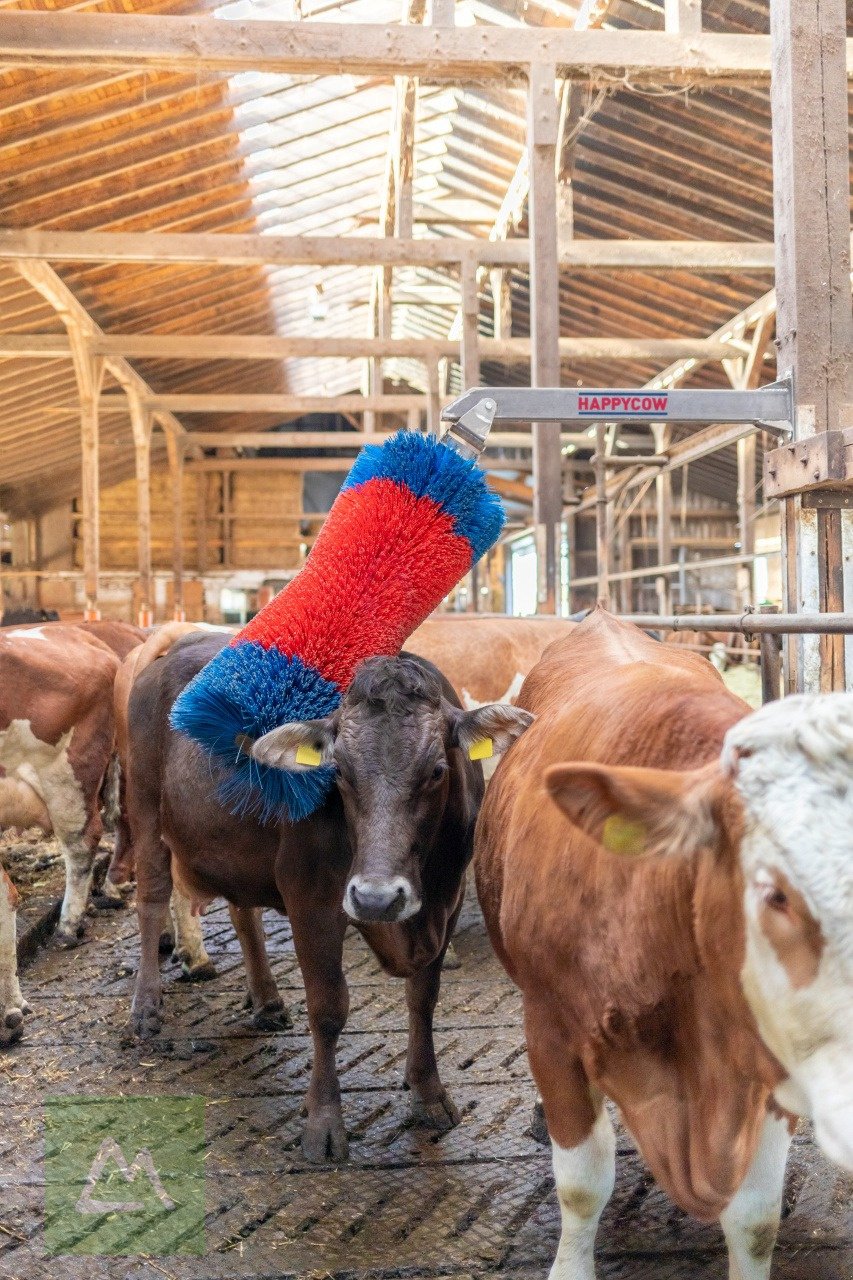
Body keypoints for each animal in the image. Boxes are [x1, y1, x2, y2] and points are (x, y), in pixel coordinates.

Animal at [126, 632, 527, 1162]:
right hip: (144, 810)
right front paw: (324, 1122)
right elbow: (329, 1008)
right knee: (151, 899)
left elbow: (424, 998)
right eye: (339, 774)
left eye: (438, 770)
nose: (377, 899)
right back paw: (145, 1008)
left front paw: (428, 1094)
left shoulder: (447, 900)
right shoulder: (311, 901)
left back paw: (267, 1001)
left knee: (242, 910)